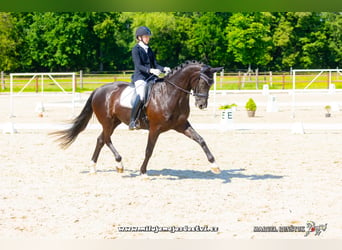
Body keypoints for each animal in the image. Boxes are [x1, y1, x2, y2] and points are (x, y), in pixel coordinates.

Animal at [52, 60, 223, 175]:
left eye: (211, 83)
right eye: (202, 82)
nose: (202, 105)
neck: (171, 94)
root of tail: (98, 90)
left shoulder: (181, 125)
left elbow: (201, 140)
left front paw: (214, 165)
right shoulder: (155, 128)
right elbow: (149, 150)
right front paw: (143, 172)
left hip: (115, 122)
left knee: (101, 139)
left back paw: (95, 167)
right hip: (107, 121)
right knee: (106, 139)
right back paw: (119, 163)